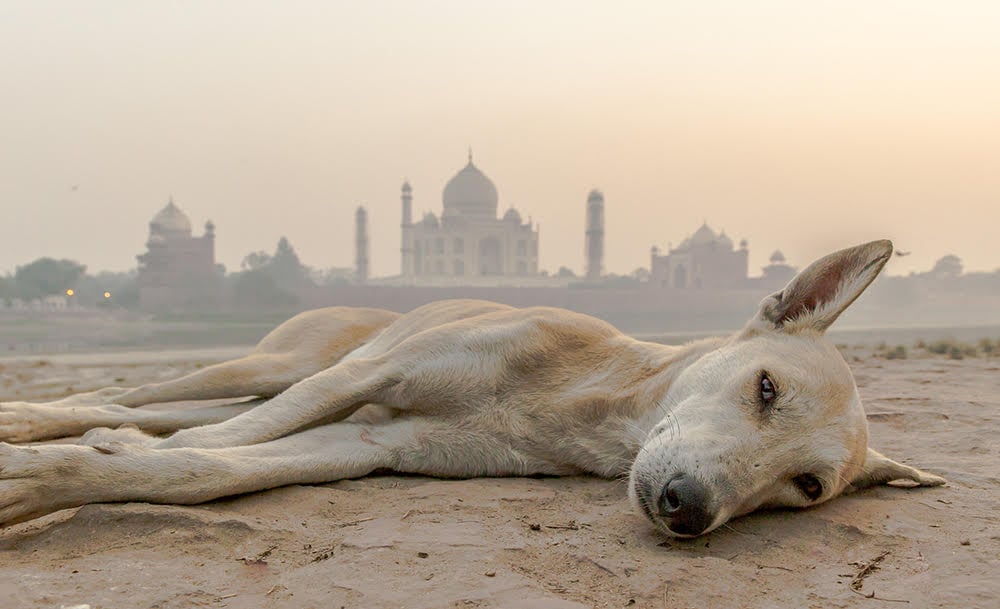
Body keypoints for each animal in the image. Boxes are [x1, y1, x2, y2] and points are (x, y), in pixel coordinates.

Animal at [0, 240, 940, 536]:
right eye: (766, 386)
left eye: (806, 486)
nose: (687, 506)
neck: (583, 404)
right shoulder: (373, 376)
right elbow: (214, 449)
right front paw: (77, 457)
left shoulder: (371, 441)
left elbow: (206, 470)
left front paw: (61, 475)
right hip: (282, 363)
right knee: (136, 397)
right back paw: (36, 413)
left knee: (161, 410)